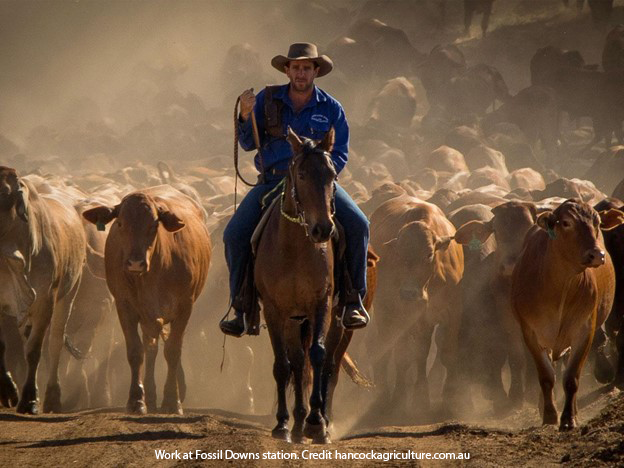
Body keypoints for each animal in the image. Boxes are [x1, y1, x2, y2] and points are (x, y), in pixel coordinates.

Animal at [83, 185, 212, 414]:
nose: (135, 263)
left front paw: (172, 400)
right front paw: (137, 400)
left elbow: (173, 350)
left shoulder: (184, 307)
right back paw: (150, 397)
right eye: (120, 223)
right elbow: (136, 351)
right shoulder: (125, 306)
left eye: (153, 225)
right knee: (150, 348)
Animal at [254, 127, 338, 442]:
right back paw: (297, 422)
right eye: (301, 174)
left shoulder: (321, 304)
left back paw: (311, 421)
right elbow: (282, 365)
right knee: (296, 362)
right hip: (291, 319)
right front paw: (282, 424)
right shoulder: (274, 310)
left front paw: (317, 422)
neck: (294, 248)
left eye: (332, 174)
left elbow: (318, 355)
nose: (323, 229)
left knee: (315, 362)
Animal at [370, 194, 464, 416]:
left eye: (429, 254)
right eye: (400, 255)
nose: (409, 293)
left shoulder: (453, 312)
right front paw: (402, 398)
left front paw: (451, 398)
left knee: (420, 355)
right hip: (387, 314)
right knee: (388, 350)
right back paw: (387, 396)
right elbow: (402, 357)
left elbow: (448, 352)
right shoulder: (403, 317)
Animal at [510, 199, 620, 430]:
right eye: (567, 223)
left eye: (597, 223)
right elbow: (546, 377)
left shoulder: (584, 330)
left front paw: (568, 419)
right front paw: (550, 416)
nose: (597, 254)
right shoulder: (530, 333)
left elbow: (571, 378)